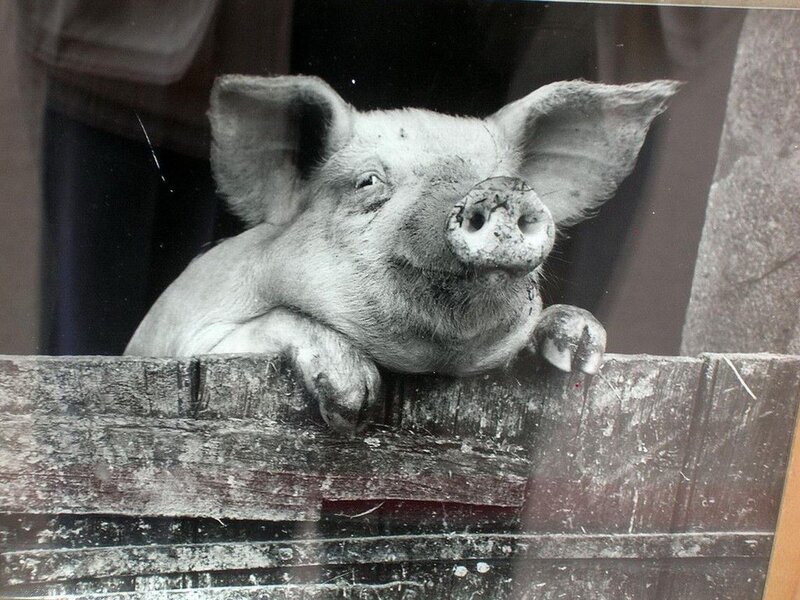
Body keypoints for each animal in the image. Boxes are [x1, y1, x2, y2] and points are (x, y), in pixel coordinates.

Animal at [125, 75, 678, 433]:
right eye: (369, 180)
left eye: (505, 174)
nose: (500, 188)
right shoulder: (189, 341)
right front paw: (355, 399)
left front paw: (580, 349)